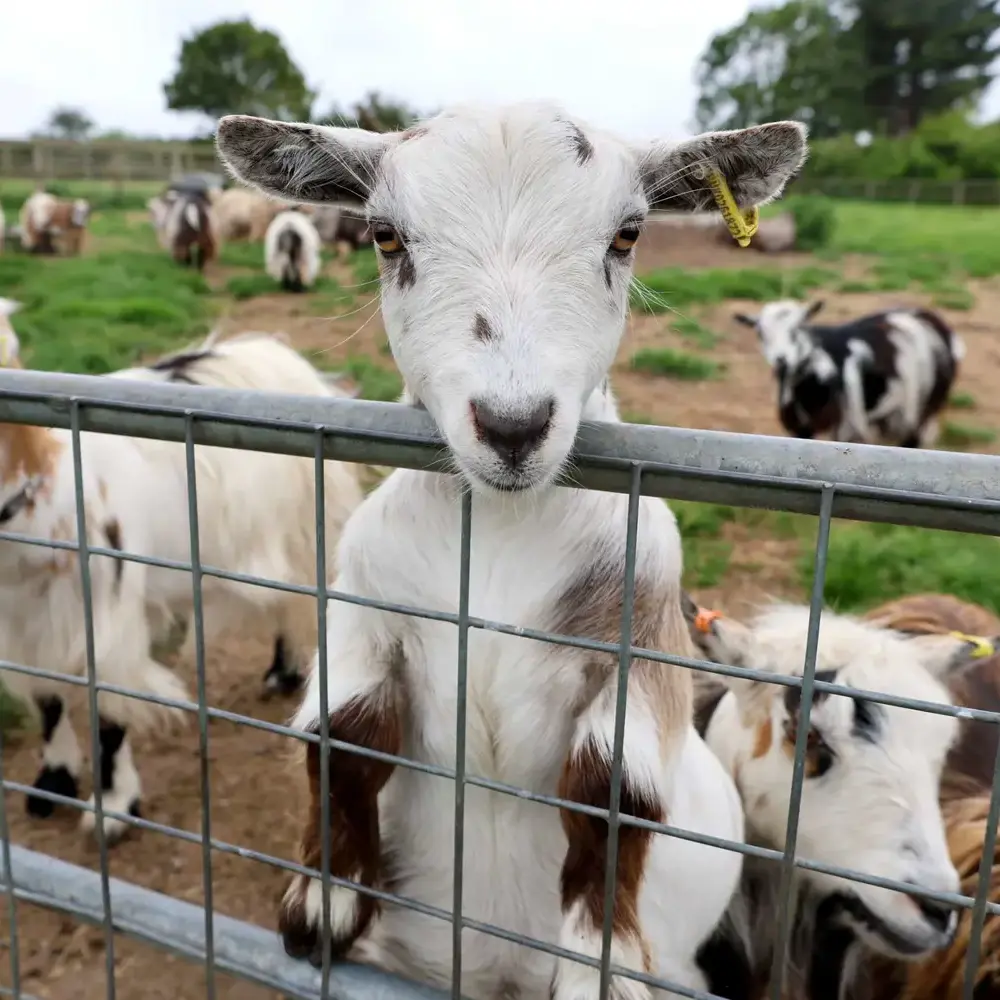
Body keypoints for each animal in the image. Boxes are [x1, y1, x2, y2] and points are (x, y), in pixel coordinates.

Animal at [0, 328, 364, 843]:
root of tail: (270, 351)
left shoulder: (108, 619)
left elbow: (109, 710)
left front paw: (113, 808)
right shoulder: (21, 620)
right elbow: (48, 700)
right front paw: (52, 783)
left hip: (309, 525)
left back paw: (291, 675)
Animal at [216, 102, 807, 1000]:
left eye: (628, 234)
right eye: (385, 235)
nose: (513, 425)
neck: (497, 532)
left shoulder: (642, 639)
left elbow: (615, 789)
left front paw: (600, 965)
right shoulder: (365, 608)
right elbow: (343, 736)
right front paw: (321, 908)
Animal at [735, 301, 963, 448]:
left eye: (797, 328)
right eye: (760, 333)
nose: (781, 360)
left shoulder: (844, 429)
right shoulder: (800, 429)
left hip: (924, 410)